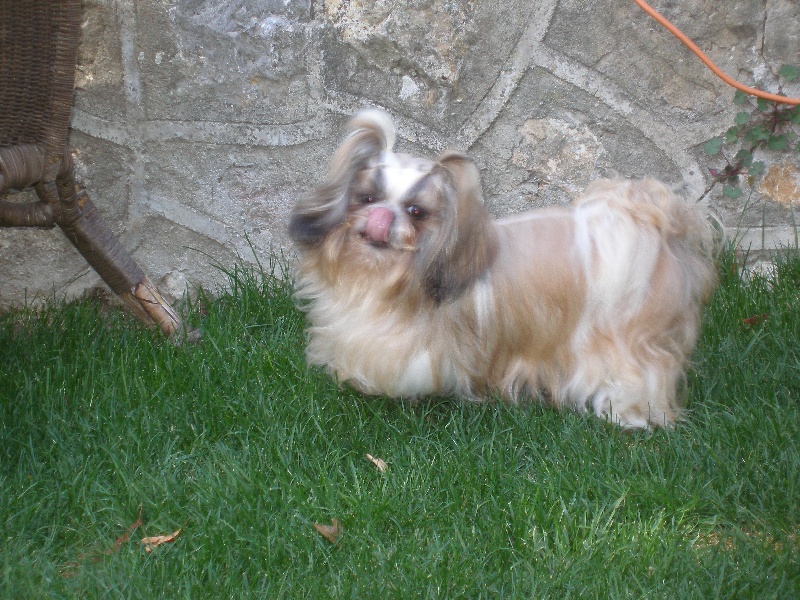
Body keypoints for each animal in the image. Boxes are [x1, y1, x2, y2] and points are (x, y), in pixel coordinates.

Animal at [290, 108, 720, 426]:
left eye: (415, 212)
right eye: (366, 198)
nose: (381, 217)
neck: (380, 278)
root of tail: (659, 231)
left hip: (628, 341)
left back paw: (627, 414)